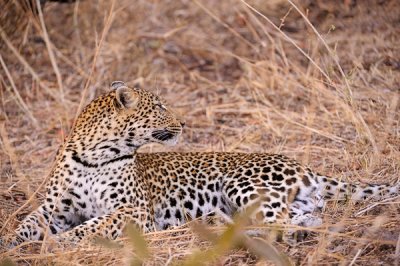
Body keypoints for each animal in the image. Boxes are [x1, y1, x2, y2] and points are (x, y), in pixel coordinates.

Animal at [3, 80, 400, 246]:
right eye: (159, 107)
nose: (183, 123)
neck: (95, 154)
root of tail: (304, 166)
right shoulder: (54, 208)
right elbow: (28, 223)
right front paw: (12, 242)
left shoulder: (133, 211)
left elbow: (93, 226)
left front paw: (62, 243)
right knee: (306, 219)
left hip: (242, 184)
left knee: (285, 224)